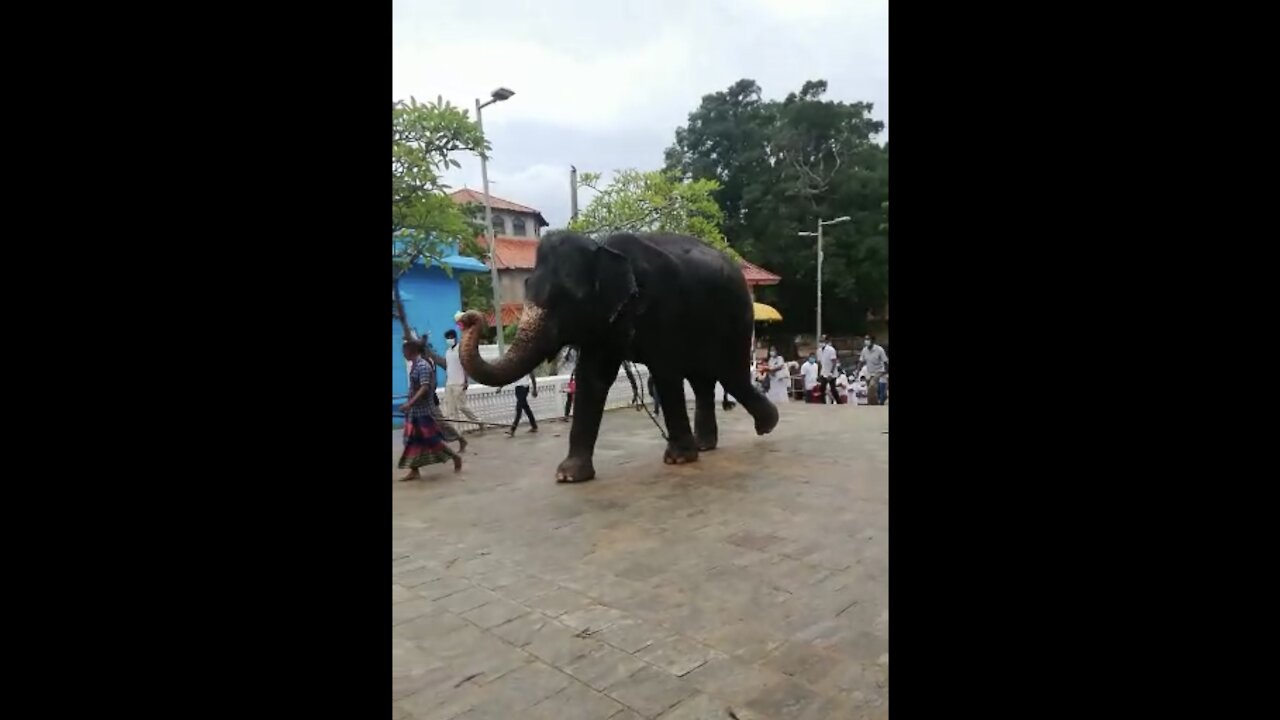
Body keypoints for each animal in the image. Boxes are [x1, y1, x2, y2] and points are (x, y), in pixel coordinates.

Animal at [460, 229, 778, 481]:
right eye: (526, 287)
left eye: (569, 299)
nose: (467, 317)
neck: (602, 248)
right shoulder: (603, 326)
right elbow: (592, 379)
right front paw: (568, 475)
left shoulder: (663, 308)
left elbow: (665, 373)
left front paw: (677, 459)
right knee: (704, 381)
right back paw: (708, 444)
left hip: (737, 315)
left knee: (730, 374)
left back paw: (766, 425)